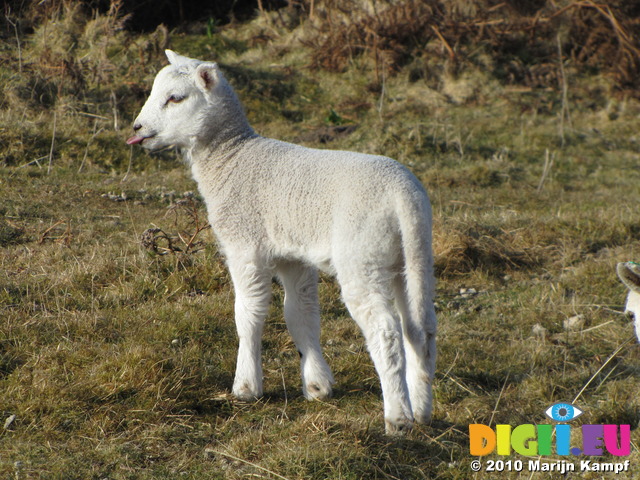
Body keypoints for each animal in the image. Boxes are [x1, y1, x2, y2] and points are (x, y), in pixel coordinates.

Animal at [125, 50, 436, 434]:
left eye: (175, 98)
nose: (137, 129)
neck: (231, 157)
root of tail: (404, 196)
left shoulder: (244, 244)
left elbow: (249, 313)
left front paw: (246, 387)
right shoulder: (293, 254)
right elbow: (300, 313)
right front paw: (317, 386)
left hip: (362, 256)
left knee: (385, 331)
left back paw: (398, 417)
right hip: (410, 257)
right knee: (420, 329)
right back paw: (421, 410)